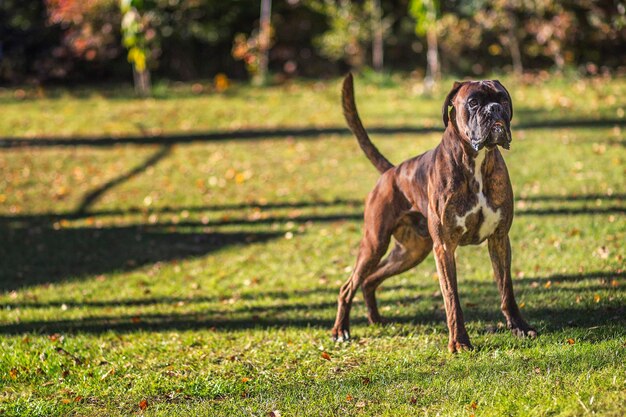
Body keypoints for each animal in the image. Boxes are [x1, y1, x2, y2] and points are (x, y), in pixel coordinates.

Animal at [332, 74, 536, 352]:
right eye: (473, 102)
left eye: (502, 98)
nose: (494, 109)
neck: (475, 161)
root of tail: (392, 171)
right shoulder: (445, 247)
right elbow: (452, 298)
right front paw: (459, 342)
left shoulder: (499, 239)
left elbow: (507, 289)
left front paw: (519, 327)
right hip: (375, 244)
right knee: (347, 287)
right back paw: (341, 330)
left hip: (410, 252)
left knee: (369, 280)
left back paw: (375, 319)